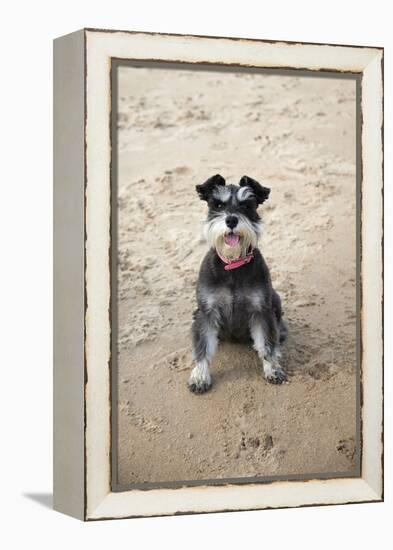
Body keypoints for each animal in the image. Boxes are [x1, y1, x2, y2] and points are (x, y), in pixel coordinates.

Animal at [188, 175, 286, 394]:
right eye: (218, 204)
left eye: (247, 205)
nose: (231, 220)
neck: (232, 265)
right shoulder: (207, 312)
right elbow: (203, 347)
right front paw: (200, 376)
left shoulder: (261, 310)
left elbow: (267, 343)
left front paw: (273, 369)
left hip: (275, 299)